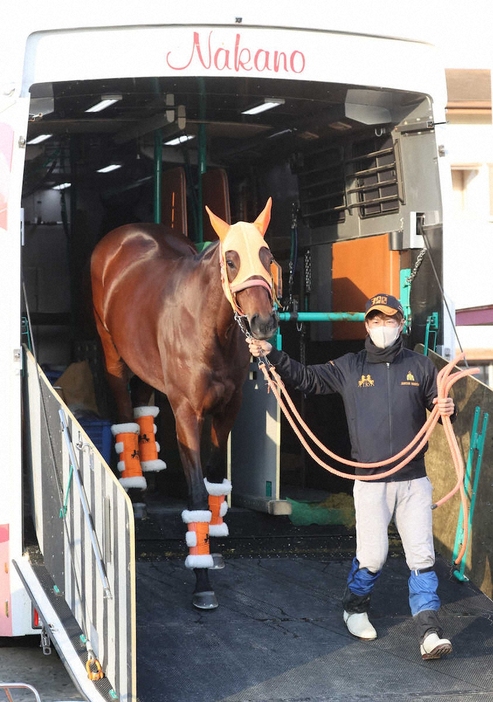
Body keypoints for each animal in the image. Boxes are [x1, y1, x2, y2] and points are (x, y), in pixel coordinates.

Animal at [90, 198, 278, 612]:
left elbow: (215, 480)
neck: (210, 327)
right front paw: (202, 580)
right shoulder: (188, 415)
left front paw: (214, 547)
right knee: (125, 416)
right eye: (230, 260)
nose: (263, 323)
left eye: (267, 255)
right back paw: (135, 492)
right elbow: (195, 494)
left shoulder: (227, 410)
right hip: (113, 355)